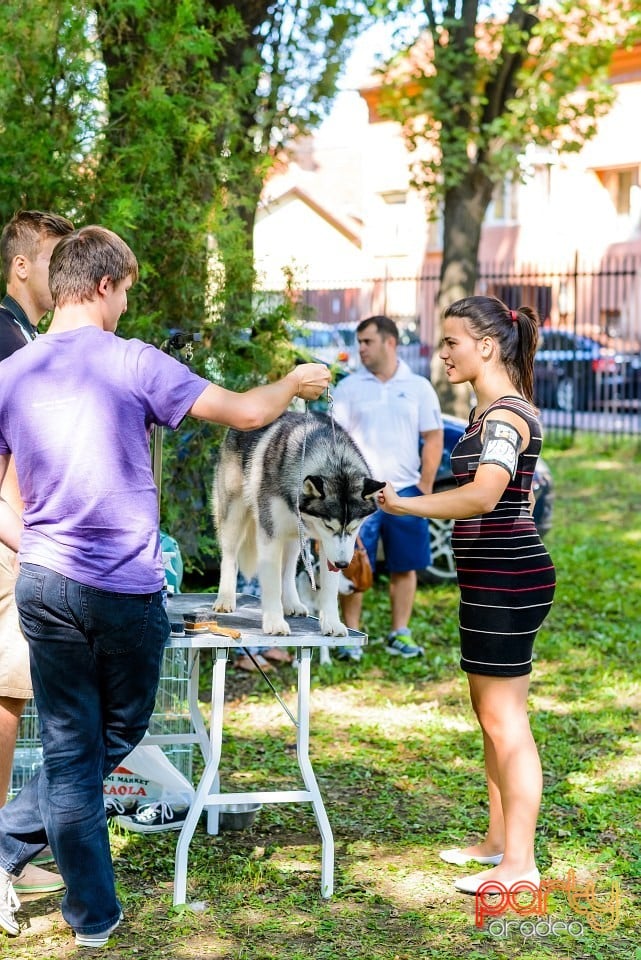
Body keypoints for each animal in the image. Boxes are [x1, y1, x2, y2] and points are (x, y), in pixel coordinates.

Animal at [210, 406, 382, 636]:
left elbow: (329, 588)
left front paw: (332, 623)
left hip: (294, 536)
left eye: (354, 528)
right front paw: (274, 622)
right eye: (328, 525)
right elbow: (271, 583)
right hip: (234, 515)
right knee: (230, 556)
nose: (343, 564)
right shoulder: (270, 534)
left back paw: (291, 602)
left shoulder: (328, 546)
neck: (332, 458)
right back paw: (226, 598)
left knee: (289, 568)